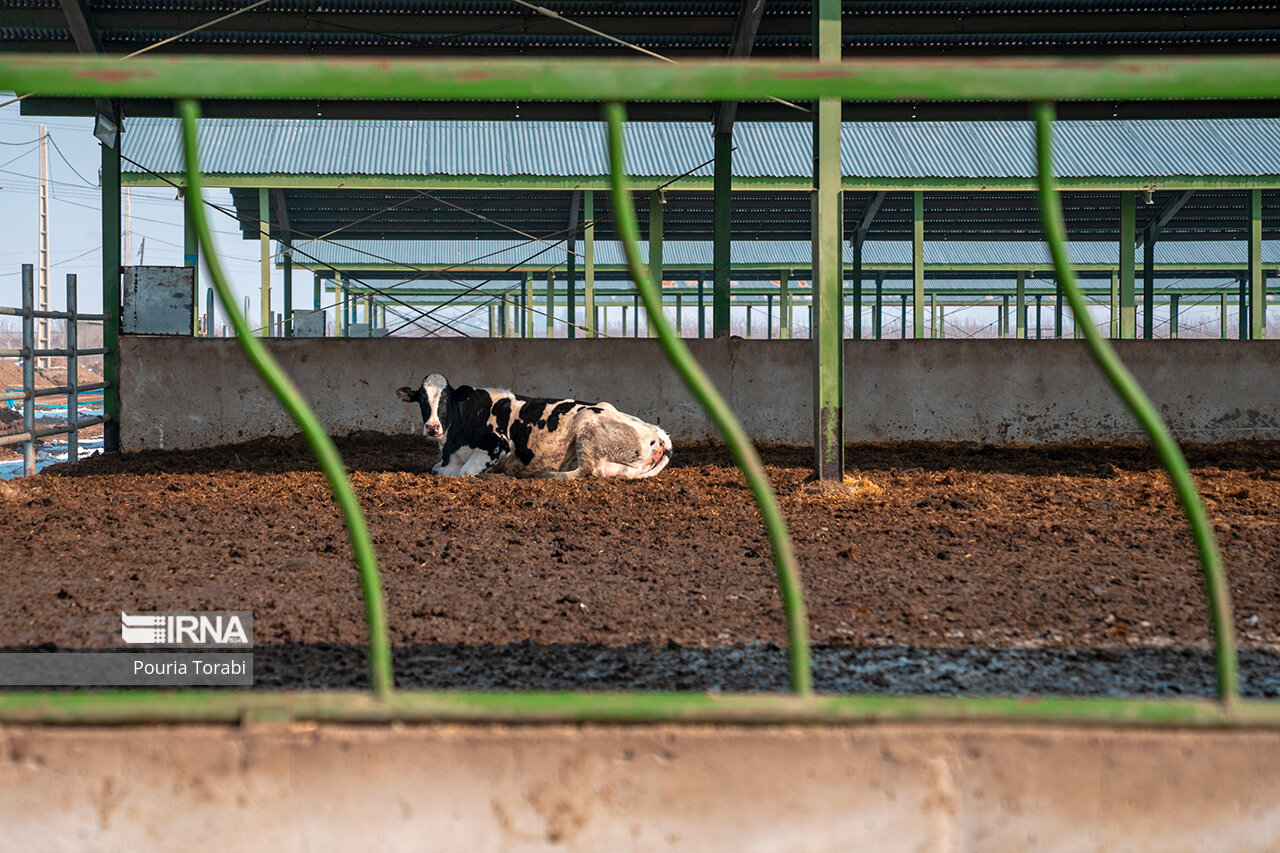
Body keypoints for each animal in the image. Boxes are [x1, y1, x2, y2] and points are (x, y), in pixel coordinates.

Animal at [394, 371, 675, 479]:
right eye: (421, 399)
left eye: (447, 399)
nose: (433, 427)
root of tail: (658, 433)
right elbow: (437, 469)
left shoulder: (498, 446)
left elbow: (464, 473)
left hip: (587, 423)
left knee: (587, 471)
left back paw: (548, 474)